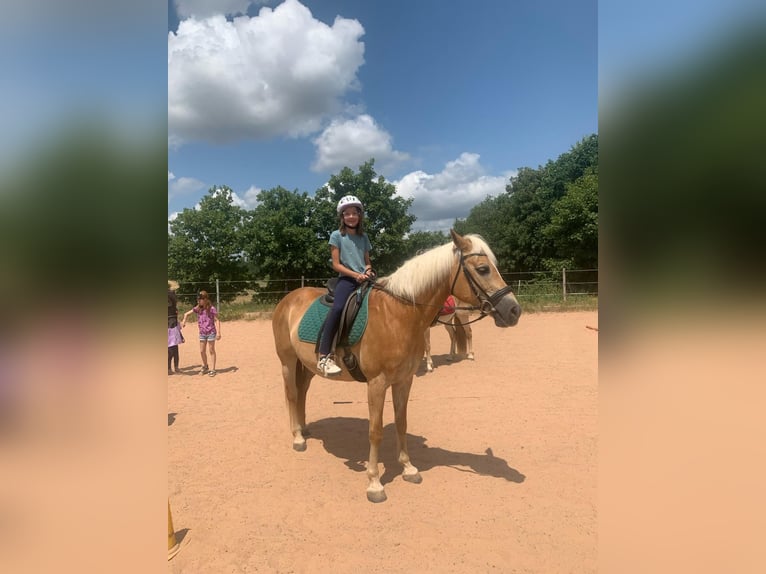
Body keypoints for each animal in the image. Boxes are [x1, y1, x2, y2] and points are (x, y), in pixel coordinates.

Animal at [272, 231, 520, 504]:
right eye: (483, 269)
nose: (514, 310)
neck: (398, 314)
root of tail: (288, 299)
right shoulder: (377, 383)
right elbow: (375, 430)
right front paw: (374, 483)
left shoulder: (404, 380)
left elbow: (402, 423)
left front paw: (409, 469)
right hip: (287, 361)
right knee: (292, 394)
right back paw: (297, 437)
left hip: (306, 365)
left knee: (302, 392)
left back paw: (304, 429)